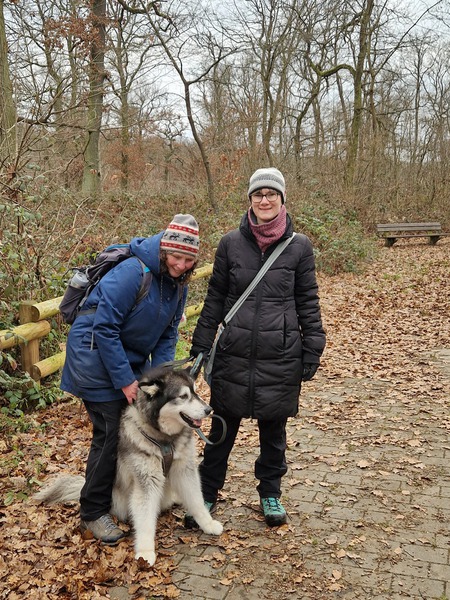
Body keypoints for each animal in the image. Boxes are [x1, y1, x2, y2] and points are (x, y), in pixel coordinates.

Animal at [34, 366, 223, 566]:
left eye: (195, 392)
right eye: (183, 396)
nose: (209, 409)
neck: (164, 438)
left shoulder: (184, 471)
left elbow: (196, 501)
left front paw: (207, 524)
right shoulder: (146, 482)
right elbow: (145, 520)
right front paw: (146, 551)